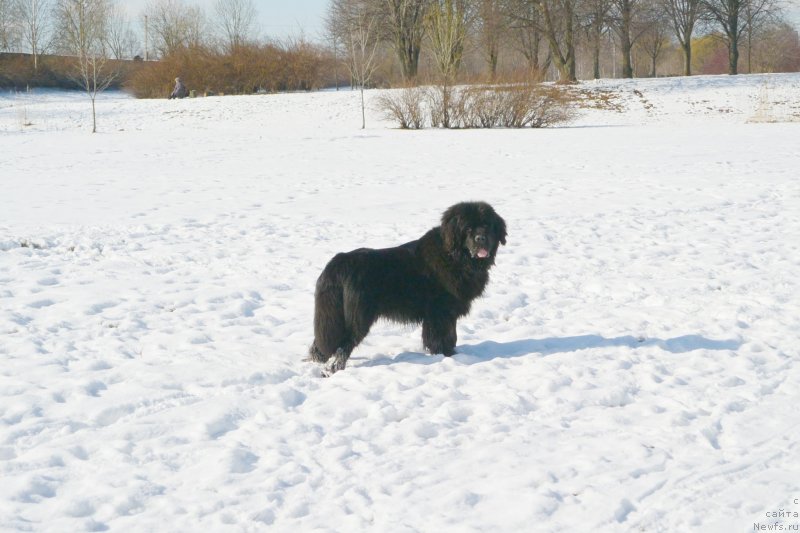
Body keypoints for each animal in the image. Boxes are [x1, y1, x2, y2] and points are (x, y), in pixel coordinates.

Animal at [306, 201, 506, 374]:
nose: (481, 238)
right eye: (468, 228)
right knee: (342, 345)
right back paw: (331, 369)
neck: (455, 257)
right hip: (357, 317)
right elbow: (444, 336)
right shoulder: (441, 313)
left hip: (332, 315)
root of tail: (338, 263)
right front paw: (447, 355)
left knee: (323, 340)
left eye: (487, 225)